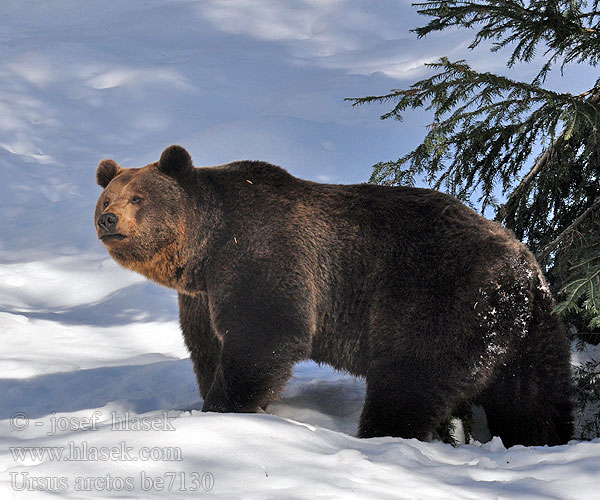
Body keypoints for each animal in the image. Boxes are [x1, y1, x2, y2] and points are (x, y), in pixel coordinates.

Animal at [92, 144, 572, 446]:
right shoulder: (200, 297)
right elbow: (207, 349)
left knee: (409, 380)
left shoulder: (262, 259)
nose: (108, 219)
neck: (203, 252)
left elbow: (263, 338)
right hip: (532, 331)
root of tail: (522, 271)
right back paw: (542, 442)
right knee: (534, 397)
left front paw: (224, 408)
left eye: (138, 197)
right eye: (107, 198)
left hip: (436, 299)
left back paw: (379, 437)